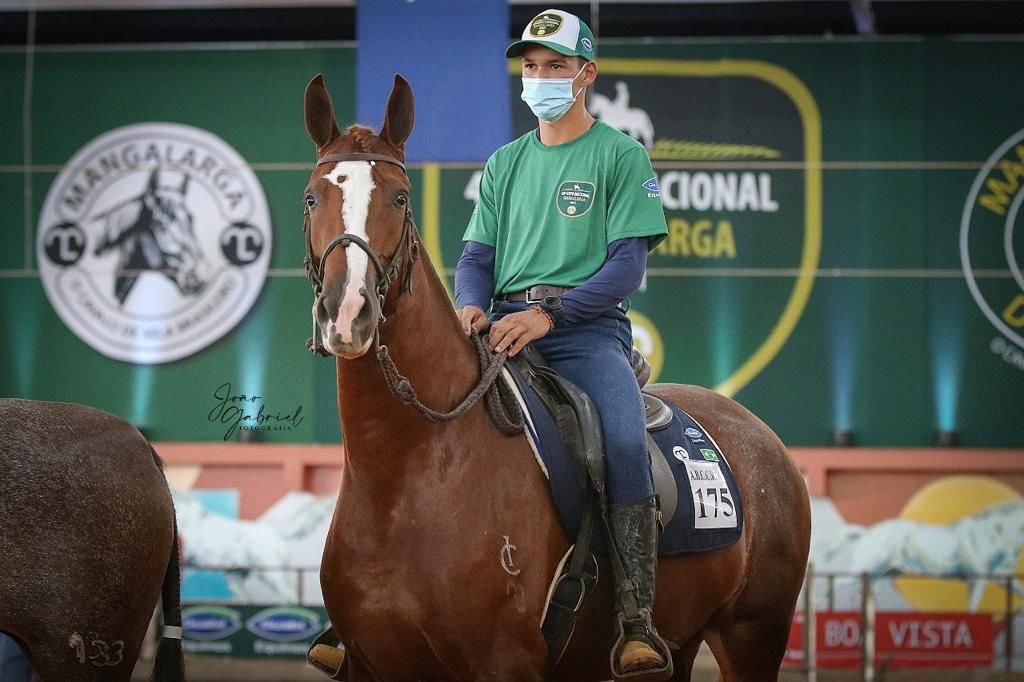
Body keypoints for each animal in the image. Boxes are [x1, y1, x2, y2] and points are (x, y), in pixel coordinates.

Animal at [299, 71, 811, 675]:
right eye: (312, 197)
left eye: (400, 198)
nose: (347, 312)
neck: (409, 469)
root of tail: (764, 439)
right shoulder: (372, 663)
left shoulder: (504, 662)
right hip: (684, 643)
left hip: (753, 635)